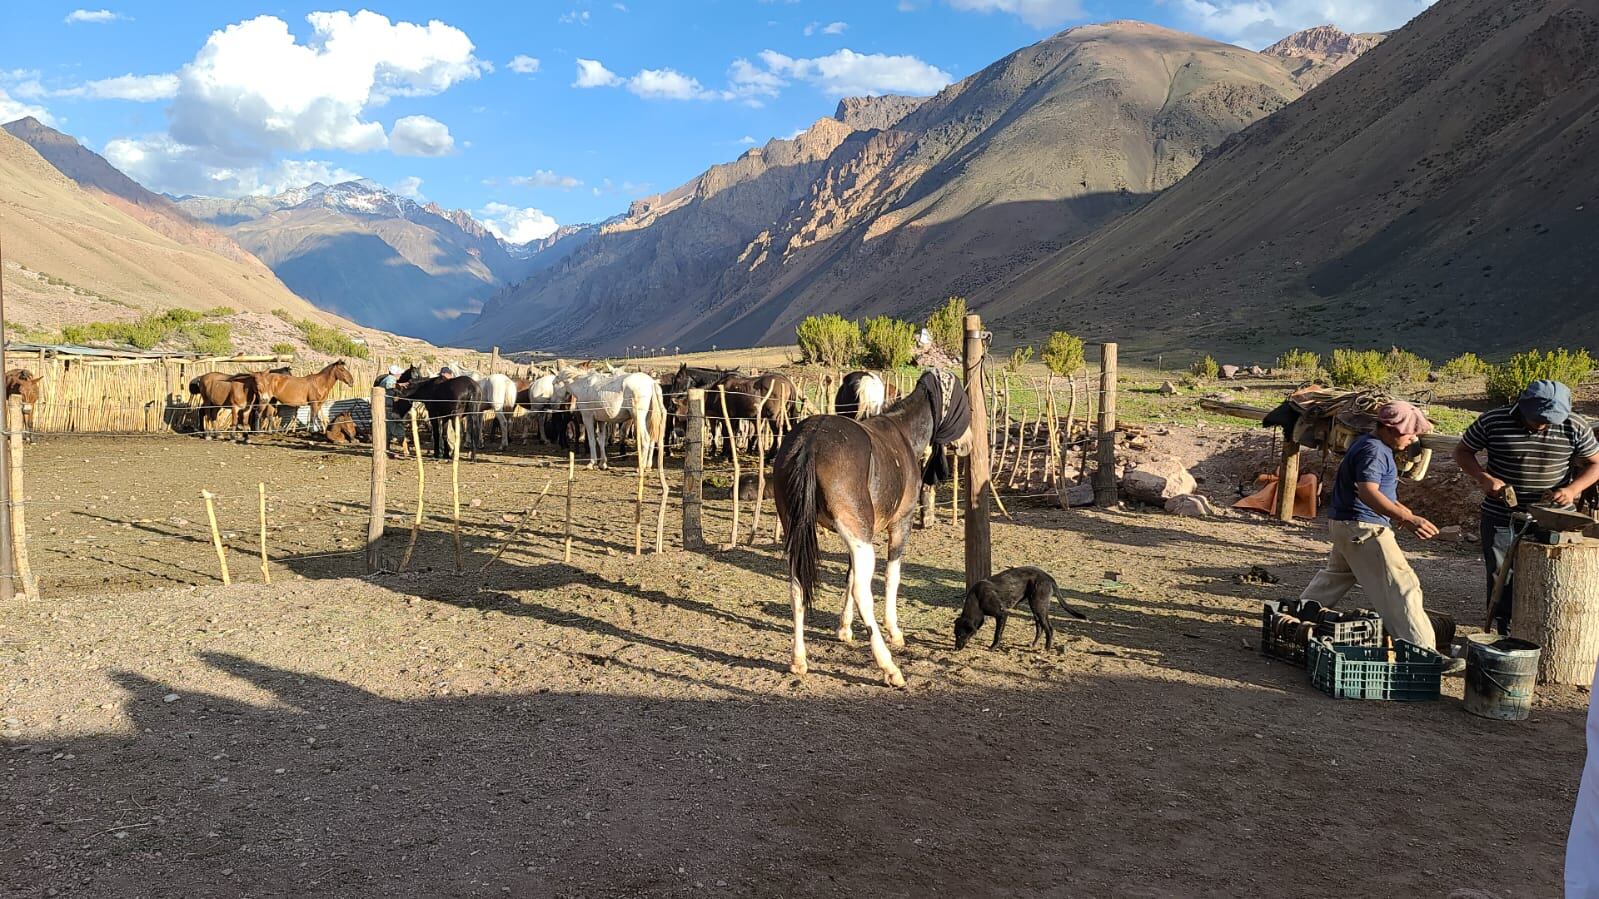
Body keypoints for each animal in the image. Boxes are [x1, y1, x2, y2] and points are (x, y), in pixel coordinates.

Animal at [770, 367, 972, 681]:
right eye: (964, 401)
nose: (968, 443)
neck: (902, 433)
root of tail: (811, 442)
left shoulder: (857, 533)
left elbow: (849, 574)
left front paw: (843, 628)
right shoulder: (900, 524)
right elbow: (891, 577)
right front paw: (895, 632)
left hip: (803, 532)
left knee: (796, 587)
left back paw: (798, 659)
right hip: (863, 541)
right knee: (862, 592)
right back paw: (888, 666)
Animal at [953, 563, 1093, 646]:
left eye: (960, 635)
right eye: (955, 635)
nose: (955, 649)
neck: (977, 597)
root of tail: (1048, 577)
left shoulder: (1002, 614)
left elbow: (997, 634)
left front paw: (993, 647)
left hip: (1038, 606)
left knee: (1049, 628)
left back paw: (1047, 649)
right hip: (1037, 608)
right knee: (1040, 628)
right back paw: (1034, 644)